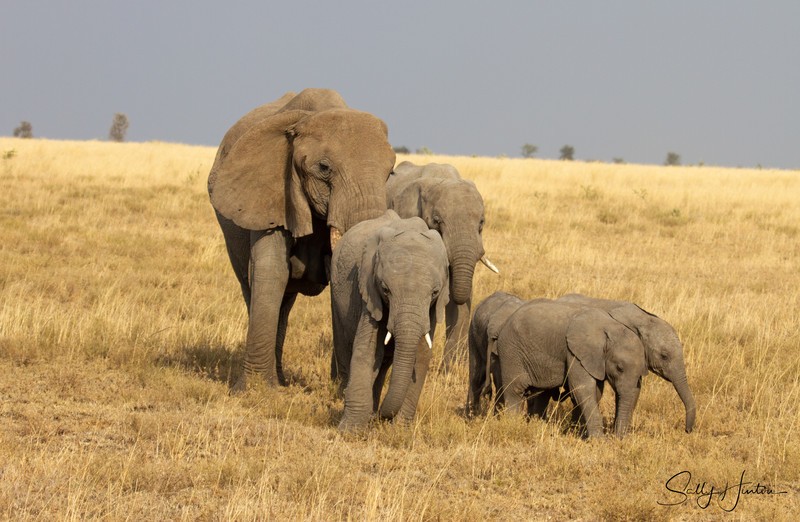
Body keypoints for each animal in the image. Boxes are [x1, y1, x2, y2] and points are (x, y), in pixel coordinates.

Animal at [208, 88, 396, 390]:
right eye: (324, 167)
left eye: (390, 173)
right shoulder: (272, 190)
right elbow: (271, 269)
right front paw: (256, 390)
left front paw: (339, 386)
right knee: (256, 289)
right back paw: (276, 381)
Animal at [330, 210, 449, 431]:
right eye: (385, 290)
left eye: (435, 292)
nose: (383, 417)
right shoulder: (369, 293)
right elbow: (366, 350)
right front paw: (349, 431)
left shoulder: (431, 309)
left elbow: (421, 355)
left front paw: (400, 429)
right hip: (336, 291)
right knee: (345, 346)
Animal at [495, 300, 648, 438]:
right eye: (619, 368)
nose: (618, 438)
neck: (610, 327)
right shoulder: (575, 353)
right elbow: (582, 389)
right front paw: (599, 440)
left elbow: (596, 392)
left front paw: (578, 433)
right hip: (511, 351)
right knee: (515, 389)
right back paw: (513, 424)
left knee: (542, 393)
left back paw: (537, 425)